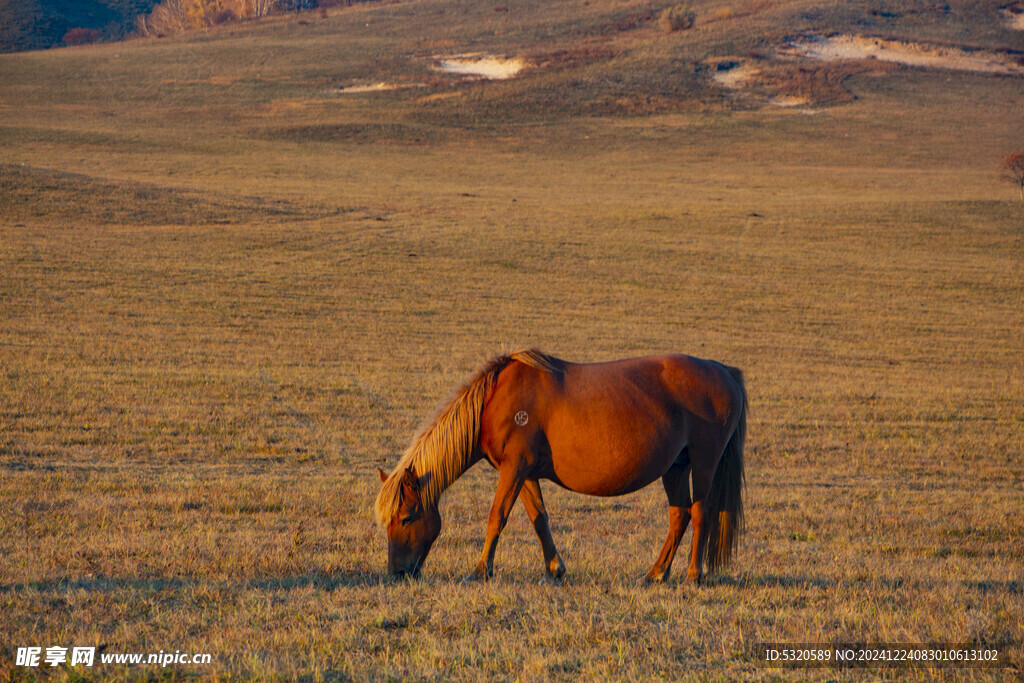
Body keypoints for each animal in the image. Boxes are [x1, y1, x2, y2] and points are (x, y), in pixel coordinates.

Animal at [372, 350, 749, 585]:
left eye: (405, 518)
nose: (397, 573)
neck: (495, 400)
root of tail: (723, 371)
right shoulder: (525, 473)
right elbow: (539, 519)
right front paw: (554, 569)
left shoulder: (515, 467)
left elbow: (497, 517)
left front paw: (480, 571)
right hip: (675, 468)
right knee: (679, 516)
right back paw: (655, 573)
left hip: (703, 463)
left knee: (699, 513)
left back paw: (693, 575)